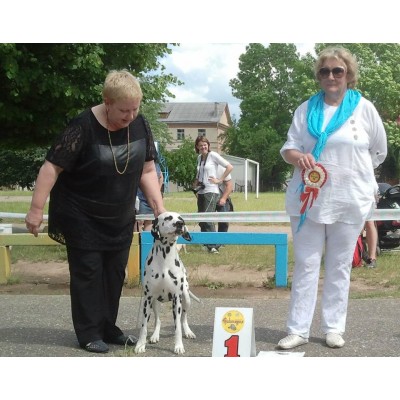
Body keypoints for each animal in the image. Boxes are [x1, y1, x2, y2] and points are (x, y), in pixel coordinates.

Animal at [135, 211, 199, 354]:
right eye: (168, 218)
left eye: (181, 218)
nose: (180, 223)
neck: (164, 259)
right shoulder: (147, 299)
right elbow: (144, 325)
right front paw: (140, 345)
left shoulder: (176, 298)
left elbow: (177, 327)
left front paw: (179, 346)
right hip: (154, 302)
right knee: (158, 320)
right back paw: (155, 336)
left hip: (186, 298)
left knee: (183, 318)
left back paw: (188, 332)